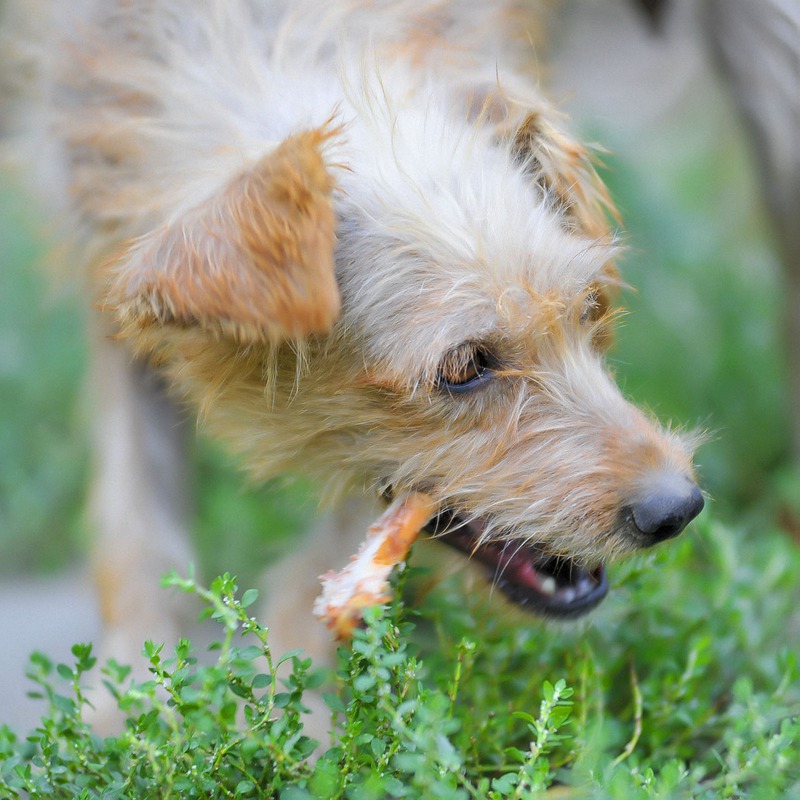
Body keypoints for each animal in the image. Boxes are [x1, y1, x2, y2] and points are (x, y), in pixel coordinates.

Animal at [4, 1, 708, 680]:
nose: (678, 509)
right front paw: (130, 697)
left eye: (589, 310)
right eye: (464, 368)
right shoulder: (115, 309)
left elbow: (317, 575)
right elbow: (137, 520)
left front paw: (296, 705)